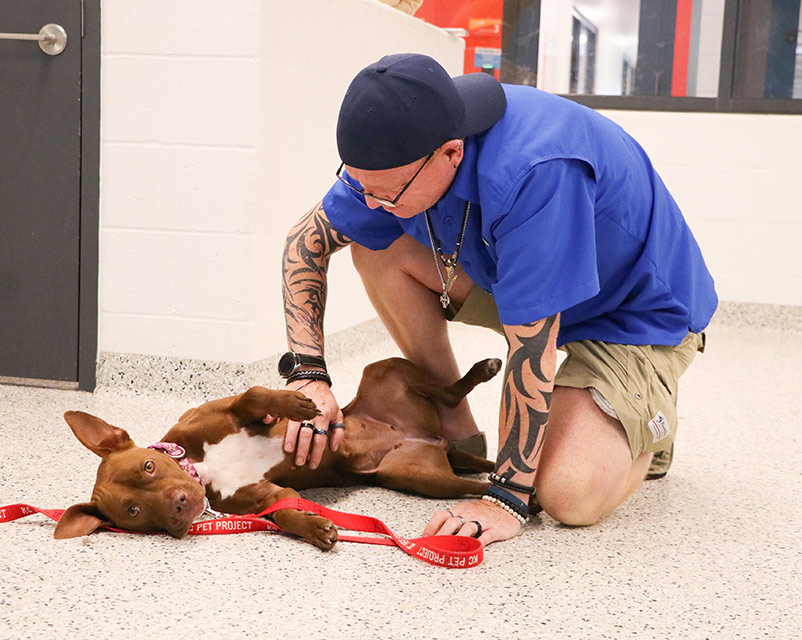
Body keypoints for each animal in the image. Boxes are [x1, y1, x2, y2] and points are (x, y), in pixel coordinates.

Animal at [53, 358, 496, 548]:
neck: (200, 466)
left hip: (384, 369)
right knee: (470, 475)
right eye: (134, 512)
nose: (180, 504)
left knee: (448, 392)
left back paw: (483, 370)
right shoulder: (268, 496)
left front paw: (297, 404)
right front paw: (315, 529)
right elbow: (283, 513)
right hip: (422, 478)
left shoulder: (232, 410)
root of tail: (427, 438)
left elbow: (254, 393)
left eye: (148, 465)